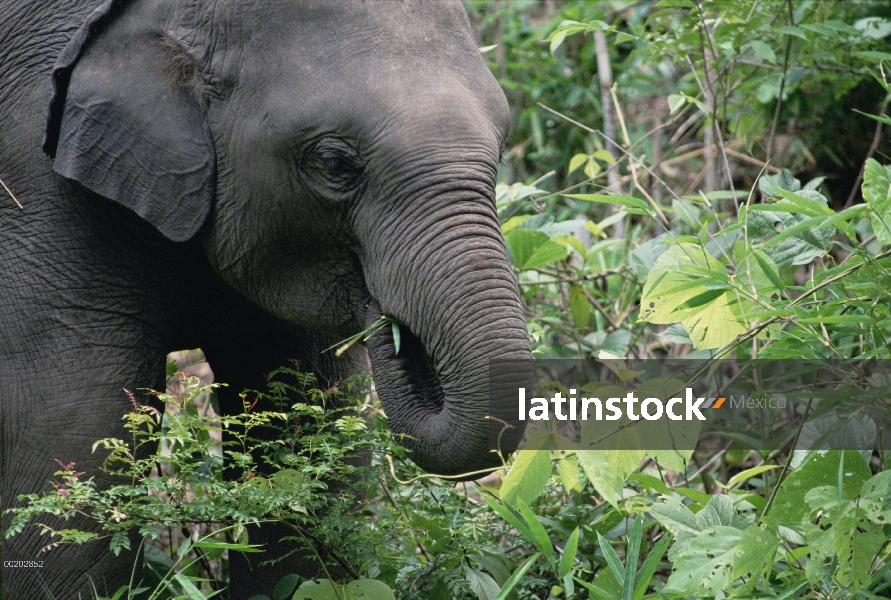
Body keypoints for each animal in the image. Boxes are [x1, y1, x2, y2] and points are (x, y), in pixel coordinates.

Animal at [0, 0, 528, 596]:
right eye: (335, 164)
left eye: (501, 147)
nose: (392, 329)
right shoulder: (36, 181)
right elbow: (73, 433)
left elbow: (308, 422)